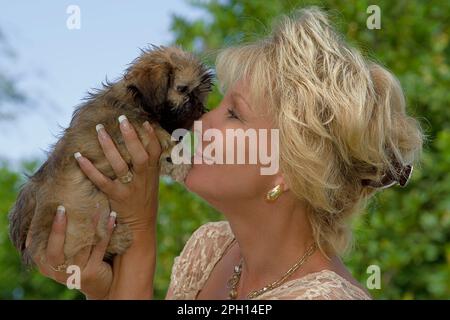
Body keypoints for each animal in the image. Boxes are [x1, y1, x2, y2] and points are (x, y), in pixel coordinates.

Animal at [8, 45, 213, 264]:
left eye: (200, 94)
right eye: (182, 89)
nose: (200, 109)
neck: (134, 100)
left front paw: (176, 163)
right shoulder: (119, 124)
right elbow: (151, 129)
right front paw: (178, 156)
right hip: (83, 212)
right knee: (82, 247)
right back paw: (118, 238)